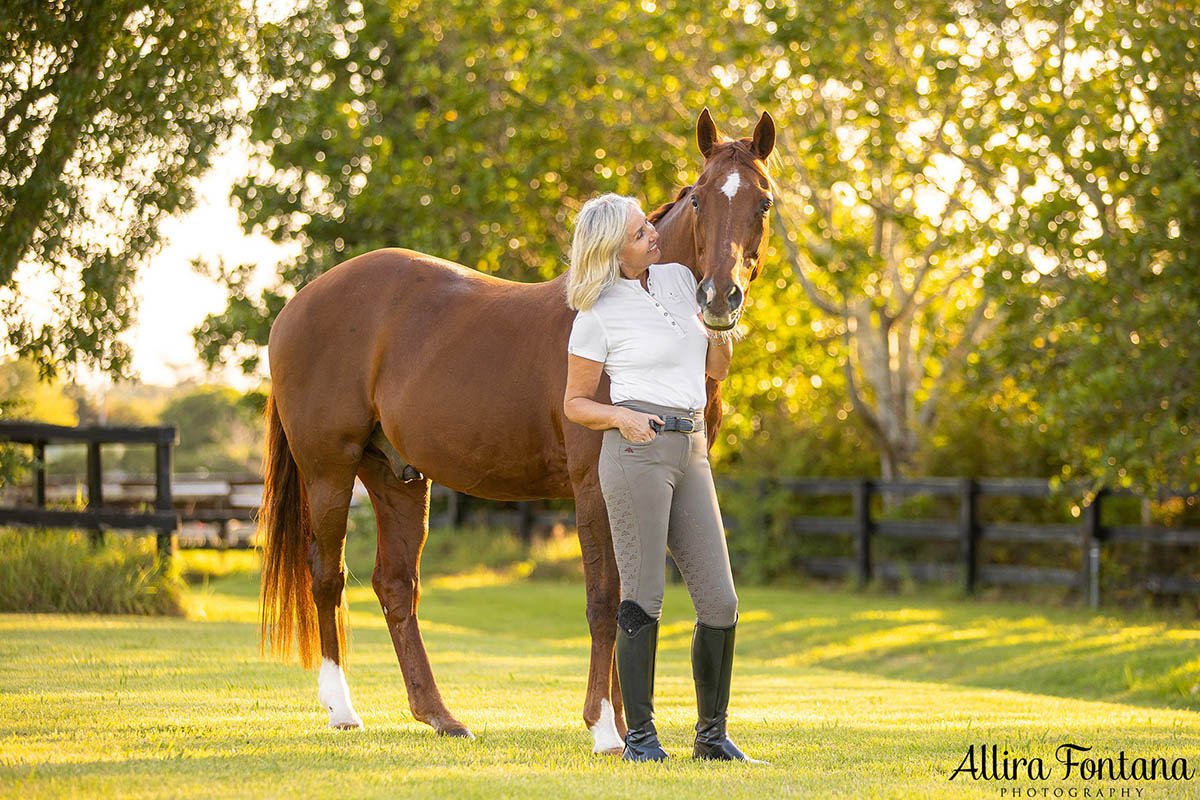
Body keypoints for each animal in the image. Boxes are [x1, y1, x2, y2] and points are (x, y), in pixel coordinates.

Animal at [258, 106, 772, 753]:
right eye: (700, 197)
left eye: (763, 202)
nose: (719, 297)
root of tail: (298, 304)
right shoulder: (593, 486)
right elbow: (604, 598)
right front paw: (606, 729)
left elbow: (633, 597)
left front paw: (626, 726)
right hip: (329, 471)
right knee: (327, 576)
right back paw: (342, 708)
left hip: (397, 477)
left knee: (395, 586)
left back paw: (441, 716)